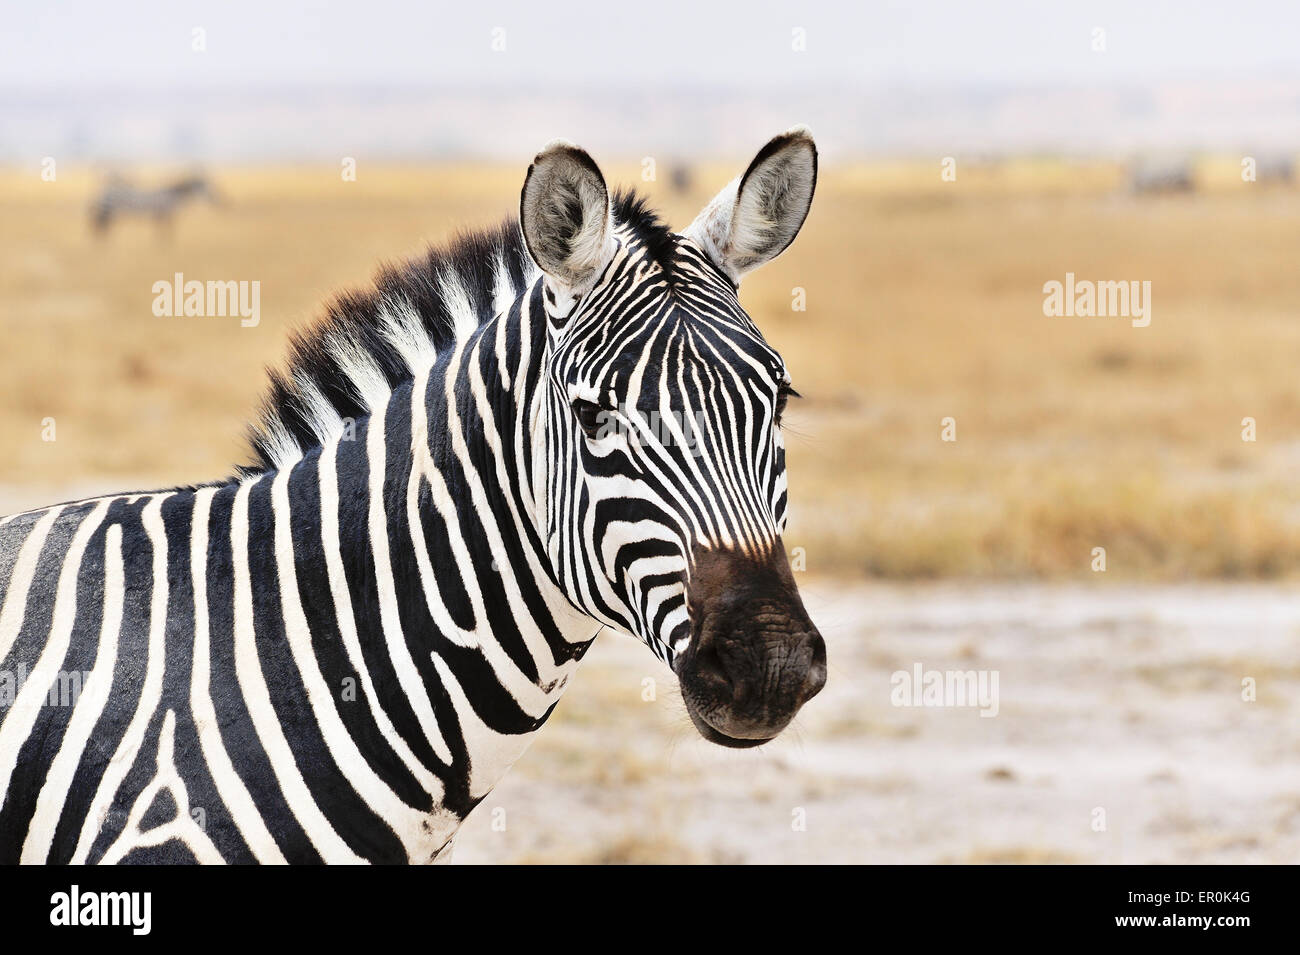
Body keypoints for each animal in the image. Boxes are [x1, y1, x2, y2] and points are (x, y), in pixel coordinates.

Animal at [90, 171, 219, 233]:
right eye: (204, 185)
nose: (215, 198)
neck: (172, 196)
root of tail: (102, 191)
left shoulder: (161, 215)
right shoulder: (164, 213)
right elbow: (166, 234)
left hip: (109, 214)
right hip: (108, 212)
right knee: (99, 227)